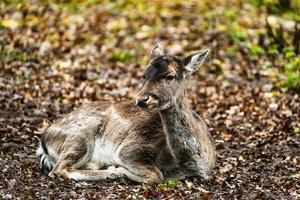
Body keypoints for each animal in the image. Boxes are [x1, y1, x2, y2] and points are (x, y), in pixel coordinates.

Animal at [37, 44, 216, 184]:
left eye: (170, 76)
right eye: (144, 75)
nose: (142, 99)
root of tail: (44, 140)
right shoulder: (129, 149)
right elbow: (156, 176)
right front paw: (118, 170)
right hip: (80, 136)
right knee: (59, 169)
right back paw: (111, 172)